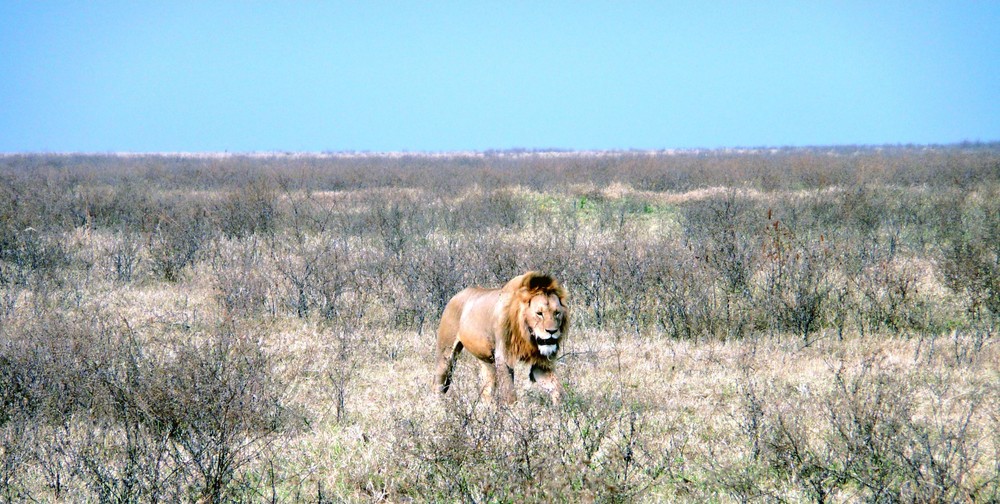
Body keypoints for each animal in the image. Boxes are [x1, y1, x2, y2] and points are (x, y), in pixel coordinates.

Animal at [432, 272, 568, 406]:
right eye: (539, 313)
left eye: (557, 313)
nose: (552, 331)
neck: (527, 336)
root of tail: (454, 296)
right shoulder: (503, 357)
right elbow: (510, 395)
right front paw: (513, 411)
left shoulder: (540, 363)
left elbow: (557, 389)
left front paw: (562, 408)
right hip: (446, 353)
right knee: (437, 385)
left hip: (487, 361)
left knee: (487, 391)